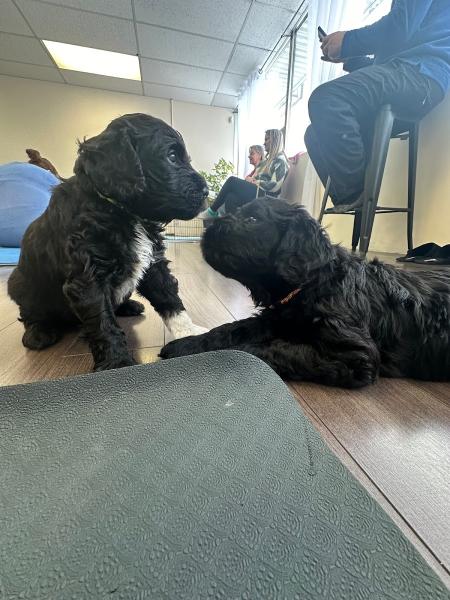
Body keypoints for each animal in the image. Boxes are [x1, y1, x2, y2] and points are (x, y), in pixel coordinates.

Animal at [8, 112, 209, 370]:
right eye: (172, 157)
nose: (206, 192)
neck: (121, 210)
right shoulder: (88, 277)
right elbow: (103, 323)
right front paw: (118, 363)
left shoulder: (153, 263)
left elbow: (169, 298)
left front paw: (189, 333)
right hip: (20, 283)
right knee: (30, 312)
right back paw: (38, 332)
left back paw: (128, 306)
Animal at [162, 198, 450, 390]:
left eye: (253, 220)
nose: (206, 227)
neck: (313, 283)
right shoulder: (274, 317)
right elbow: (231, 329)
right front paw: (187, 345)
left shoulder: (356, 355)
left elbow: (265, 349)